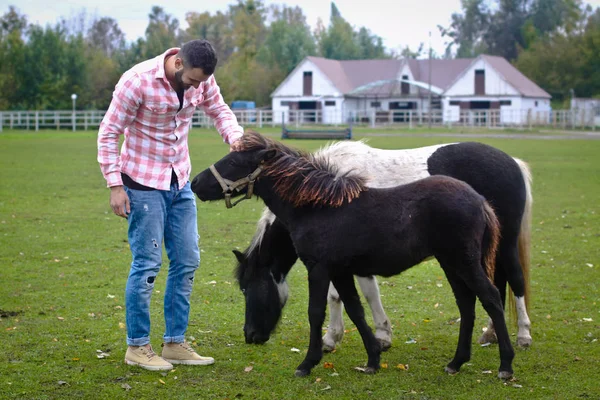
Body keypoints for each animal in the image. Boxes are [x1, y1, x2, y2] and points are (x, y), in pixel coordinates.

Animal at [191, 131, 516, 378]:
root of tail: (480, 200)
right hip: (451, 263)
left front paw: (308, 363)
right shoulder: (342, 270)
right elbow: (356, 309)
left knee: (491, 298)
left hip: (465, 261)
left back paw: (506, 364)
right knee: (467, 304)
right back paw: (456, 362)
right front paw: (372, 359)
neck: (318, 208)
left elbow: (316, 311)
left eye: (234, 161)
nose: (194, 183)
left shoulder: (319, 268)